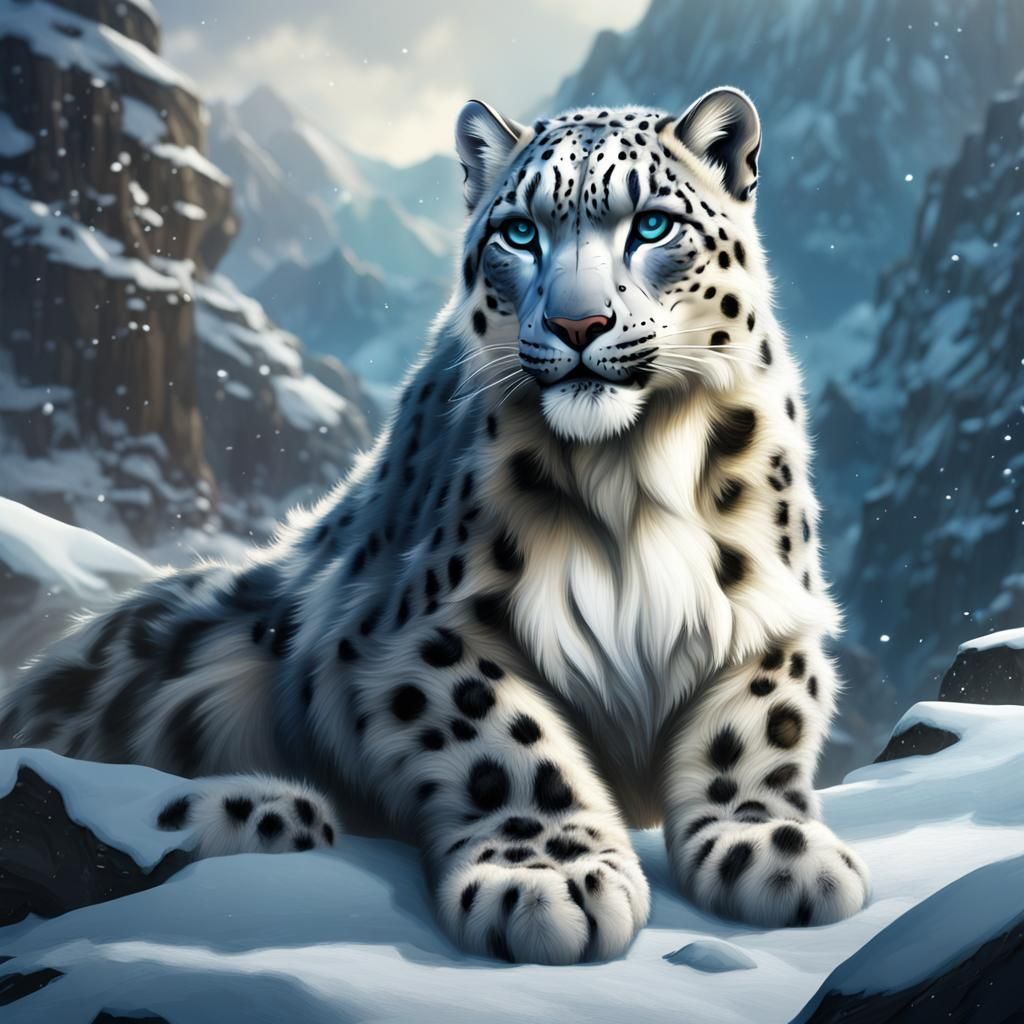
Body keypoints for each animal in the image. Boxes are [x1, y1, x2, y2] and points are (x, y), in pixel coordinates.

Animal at [0, 86, 870, 964]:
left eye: (653, 224)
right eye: (519, 232)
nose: (578, 326)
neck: (629, 476)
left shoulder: (773, 608)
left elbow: (758, 718)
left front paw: (769, 845)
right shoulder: (406, 631)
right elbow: (503, 735)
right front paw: (550, 875)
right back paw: (263, 810)